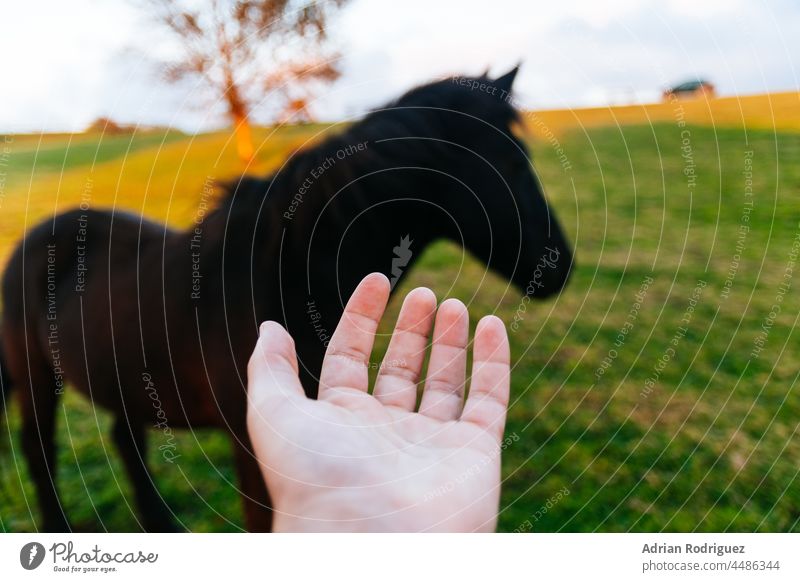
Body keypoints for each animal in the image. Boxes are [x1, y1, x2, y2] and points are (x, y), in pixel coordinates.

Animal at [1, 66, 576, 532]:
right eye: (509, 163)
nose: (560, 267)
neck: (283, 274)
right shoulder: (253, 441)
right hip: (36, 377)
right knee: (38, 448)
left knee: (125, 440)